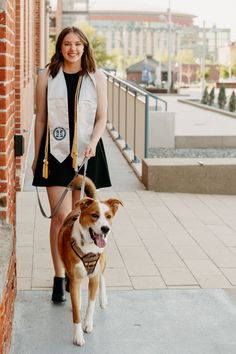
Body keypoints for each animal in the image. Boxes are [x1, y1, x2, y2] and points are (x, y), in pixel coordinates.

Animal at [58, 176, 122, 348]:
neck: (88, 247)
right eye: (94, 215)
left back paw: (103, 299)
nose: (105, 228)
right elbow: (76, 311)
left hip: (102, 262)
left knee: (102, 276)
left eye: (108, 216)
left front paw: (88, 323)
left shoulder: (93, 278)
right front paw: (78, 336)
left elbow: (91, 304)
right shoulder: (75, 279)